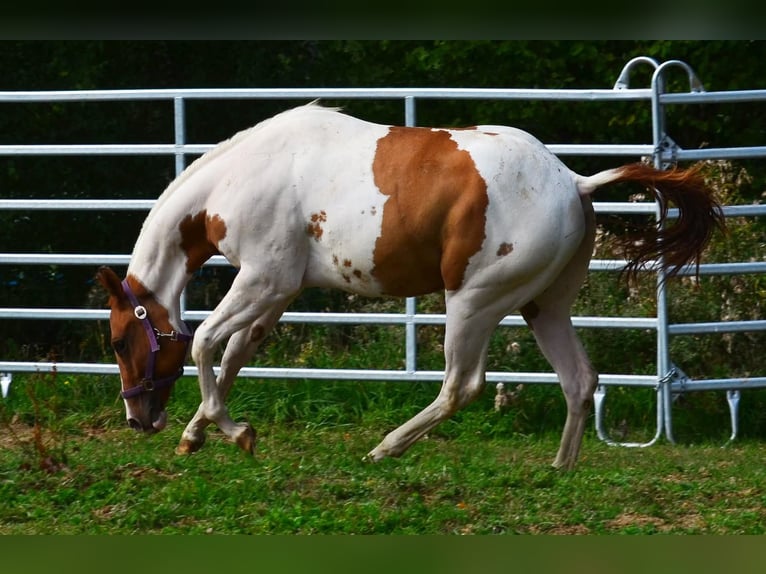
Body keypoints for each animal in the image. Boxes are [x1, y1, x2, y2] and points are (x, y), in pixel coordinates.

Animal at [96, 102, 725, 470]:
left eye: (120, 341)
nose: (137, 420)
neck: (241, 175)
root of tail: (574, 181)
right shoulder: (277, 294)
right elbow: (232, 357)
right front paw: (200, 433)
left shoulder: (262, 281)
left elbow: (205, 344)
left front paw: (233, 431)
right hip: (543, 307)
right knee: (579, 379)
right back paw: (559, 469)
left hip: (473, 303)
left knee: (462, 386)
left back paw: (385, 448)